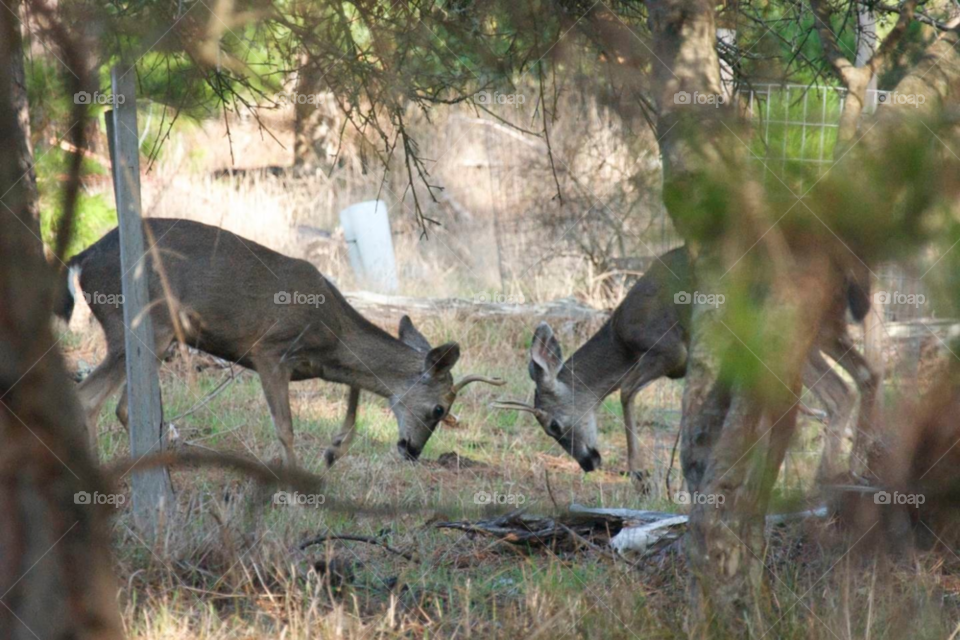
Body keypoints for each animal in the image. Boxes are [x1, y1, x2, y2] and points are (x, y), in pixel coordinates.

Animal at [54, 219, 502, 464]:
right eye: (440, 408)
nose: (412, 450)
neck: (331, 334)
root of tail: (82, 258)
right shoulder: (268, 350)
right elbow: (285, 428)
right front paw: (298, 480)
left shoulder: (319, 365)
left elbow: (355, 388)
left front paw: (334, 450)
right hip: (137, 323)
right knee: (88, 398)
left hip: (152, 337)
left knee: (122, 406)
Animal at [496, 246, 876, 484]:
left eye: (554, 425)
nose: (588, 462)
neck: (622, 338)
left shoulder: (669, 349)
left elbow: (626, 391)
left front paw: (640, 473)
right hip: (823, 330)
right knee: (861, 378)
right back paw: (845, 472)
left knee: (843, 388)